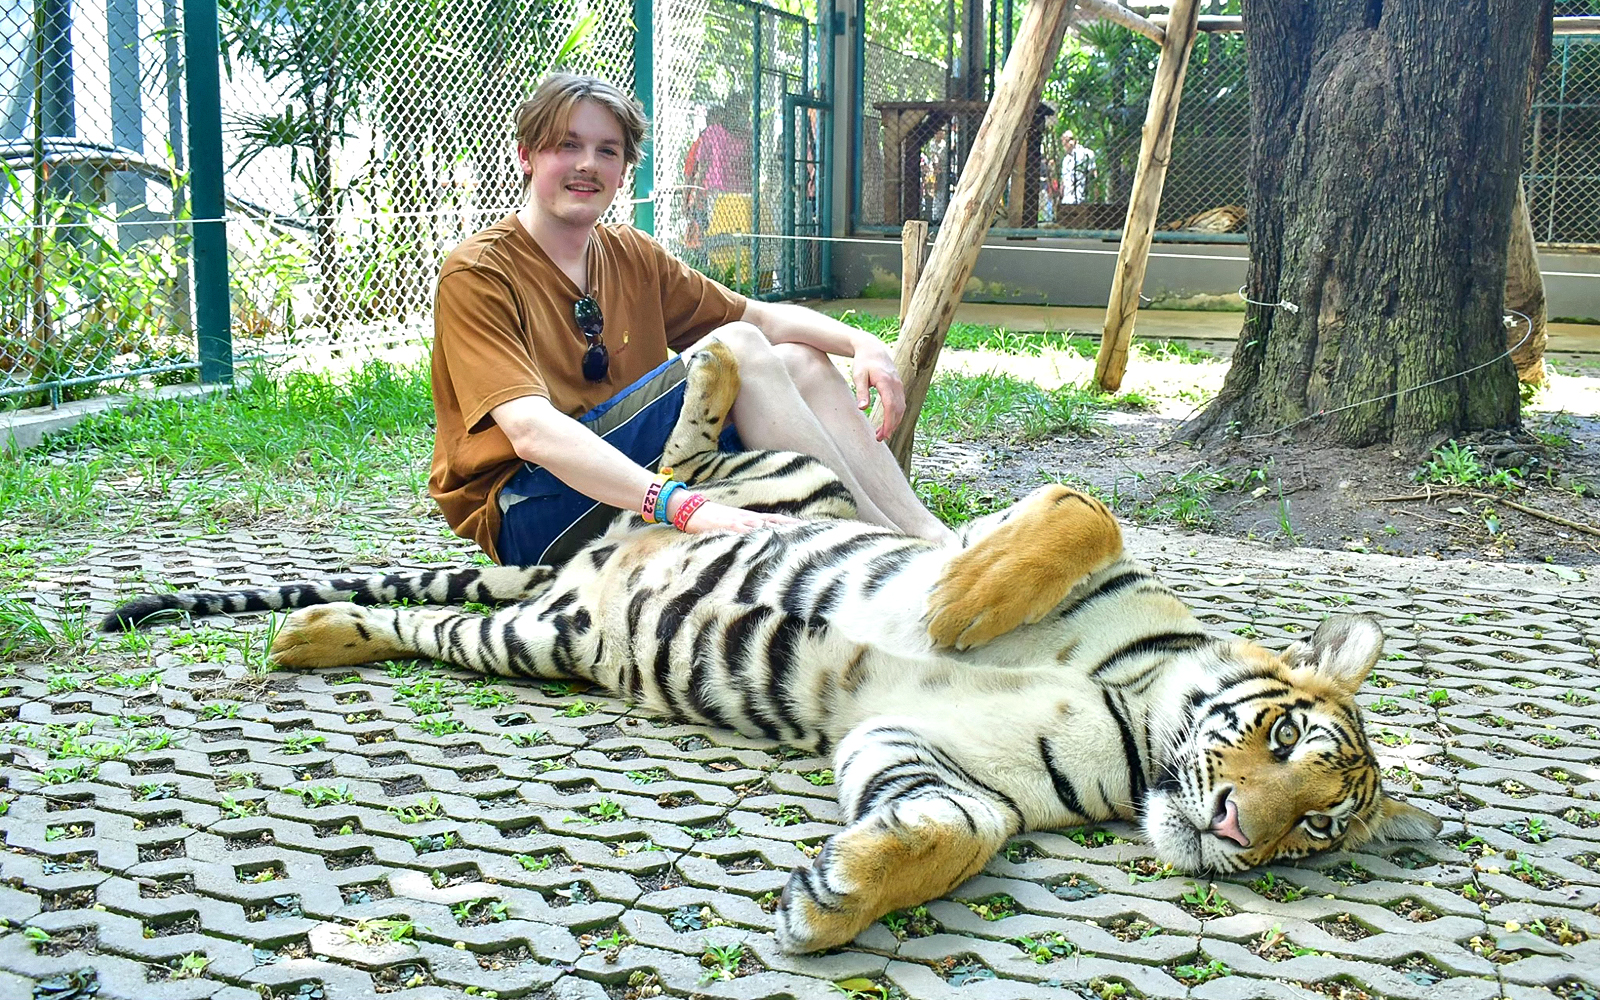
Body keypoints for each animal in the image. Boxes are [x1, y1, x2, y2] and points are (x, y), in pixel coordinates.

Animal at [103, 340, 1441, 955]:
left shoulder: (930, 752)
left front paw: (835, 898)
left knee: (432, 619)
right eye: (1282, 732)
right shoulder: (1077, 558)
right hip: (770, 478)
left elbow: (959, 827)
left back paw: (309, 633)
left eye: (1317, 827)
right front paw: (953, 605)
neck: (1134, 722)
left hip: (544, 637)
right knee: (684, 453)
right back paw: (717, 356)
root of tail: (572, 566)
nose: (1237, 831)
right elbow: (1075, 513)